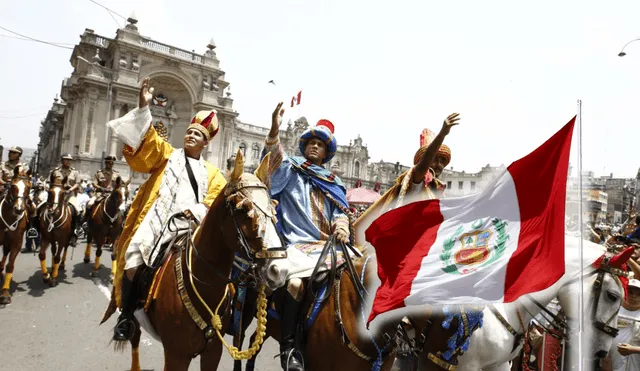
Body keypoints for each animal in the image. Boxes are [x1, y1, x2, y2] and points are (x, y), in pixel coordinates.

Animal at [100, 152, 284, 371]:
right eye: (243, 209)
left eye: (273, 207)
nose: (278, 269)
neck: (203, 283)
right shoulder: (177, 354)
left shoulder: (213, 352)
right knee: (134, 337)